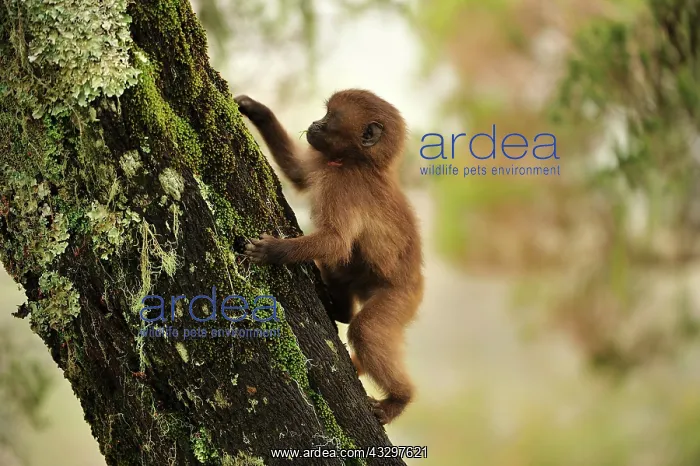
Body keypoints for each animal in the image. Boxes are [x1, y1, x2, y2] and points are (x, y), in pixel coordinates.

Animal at [234, 89, 423, 425]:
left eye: (330, 117)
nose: (314, 124)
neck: (356, 162)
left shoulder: (345, 186)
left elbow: (336, 242)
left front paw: (271, 252)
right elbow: (297, 172)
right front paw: (256, 110)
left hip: (401, 296)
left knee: (365, 329)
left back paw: (399, 399)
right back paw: (342, 310)